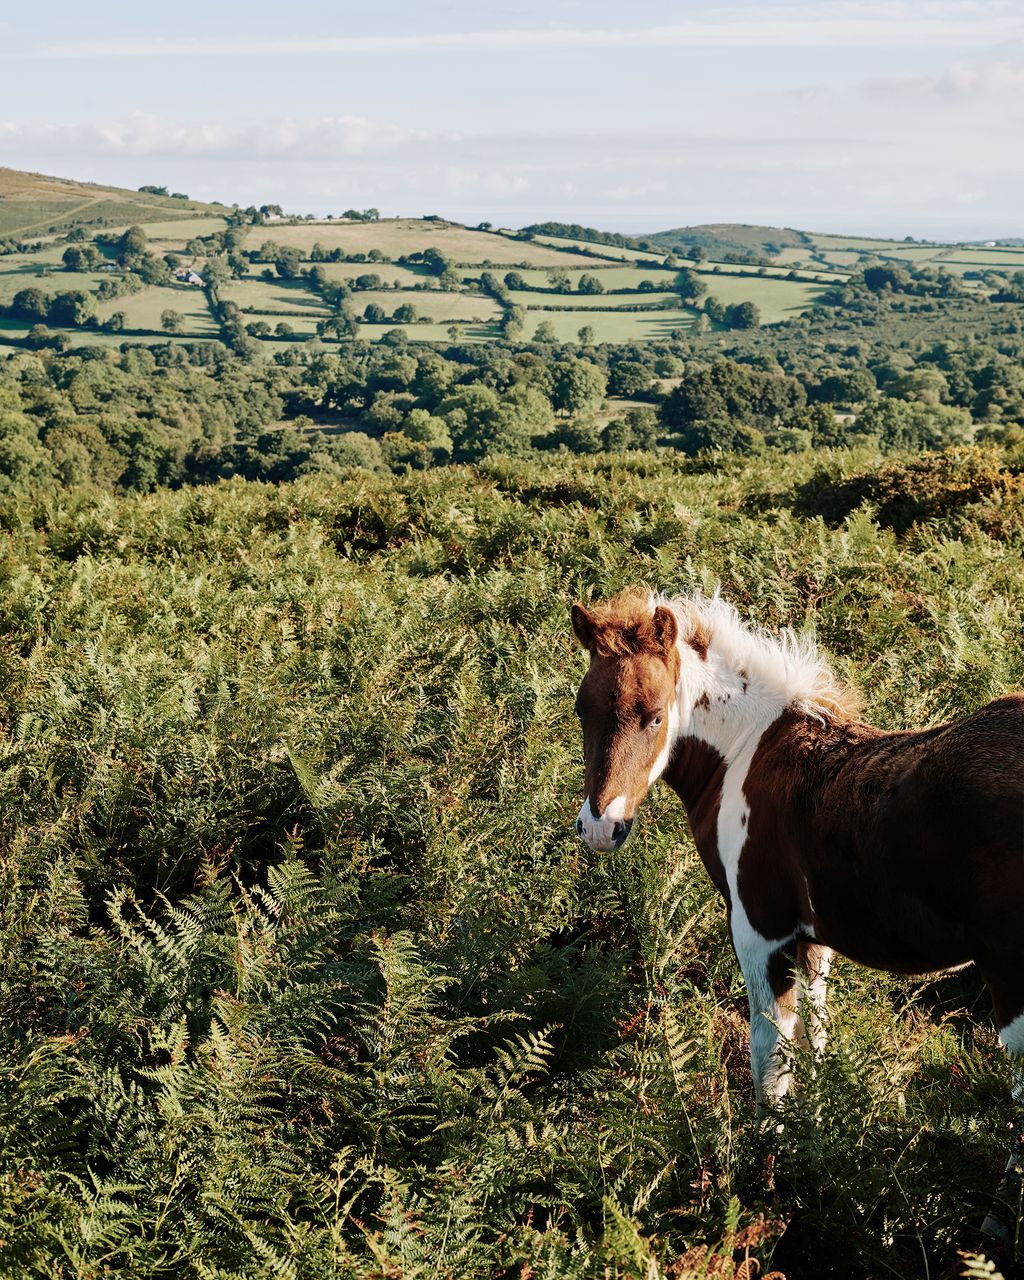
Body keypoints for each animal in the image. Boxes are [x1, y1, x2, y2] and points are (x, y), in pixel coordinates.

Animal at [570, 587, 1024, 1233]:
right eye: (583, 710)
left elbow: (769, 1048)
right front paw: (814, 1135)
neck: (744, 751)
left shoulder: (760, 929)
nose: (599, 828)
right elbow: (814, 1032)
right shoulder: (811, 937)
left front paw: (767, 1165)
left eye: (655, 715)